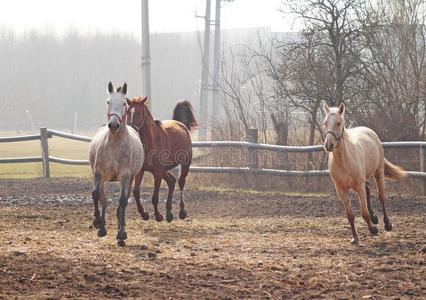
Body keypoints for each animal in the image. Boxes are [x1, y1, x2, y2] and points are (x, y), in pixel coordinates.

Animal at [88, 82, 145, 246]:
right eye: (108, 102)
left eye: (124, 103)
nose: (113, 125)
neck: (114, 146)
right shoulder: (98, 173)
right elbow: (97, 196)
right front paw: (98, 223)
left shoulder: (125, 177)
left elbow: (122, 201)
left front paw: (121, 234)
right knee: (103, 199)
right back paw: (101, 226)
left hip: (130, 179)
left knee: (123, 200)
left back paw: (121, 228)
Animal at [322, 101, 406, 244]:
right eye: (325, 123)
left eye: (338, 123)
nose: (329, 145)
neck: (344, 161)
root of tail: (370, 132)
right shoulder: (341, 189)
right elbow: (350, 215)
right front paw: (355, 238)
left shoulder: (358, 186)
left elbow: (363, 212)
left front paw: (373, 230)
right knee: (368, 191)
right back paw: (374, 218)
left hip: (378, 173)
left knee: (381, 197)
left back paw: (387, 224)